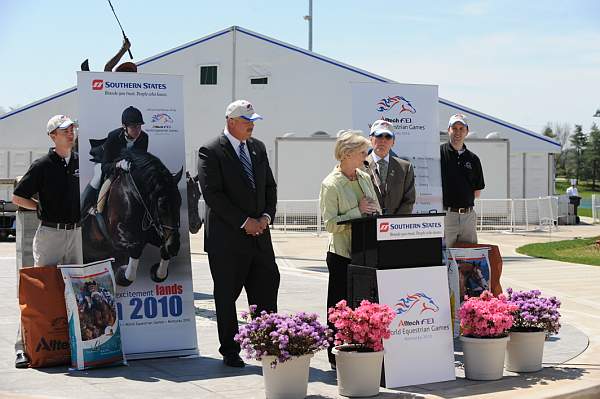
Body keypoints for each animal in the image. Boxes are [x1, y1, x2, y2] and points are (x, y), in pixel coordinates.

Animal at [81, 148, 183, 286]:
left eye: (180, 202)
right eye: (162, 205)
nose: (174, 247)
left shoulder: (154, 231)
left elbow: (164, 251)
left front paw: (157, 273)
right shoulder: (117, 237)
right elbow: (136, 249)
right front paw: (122, 275)